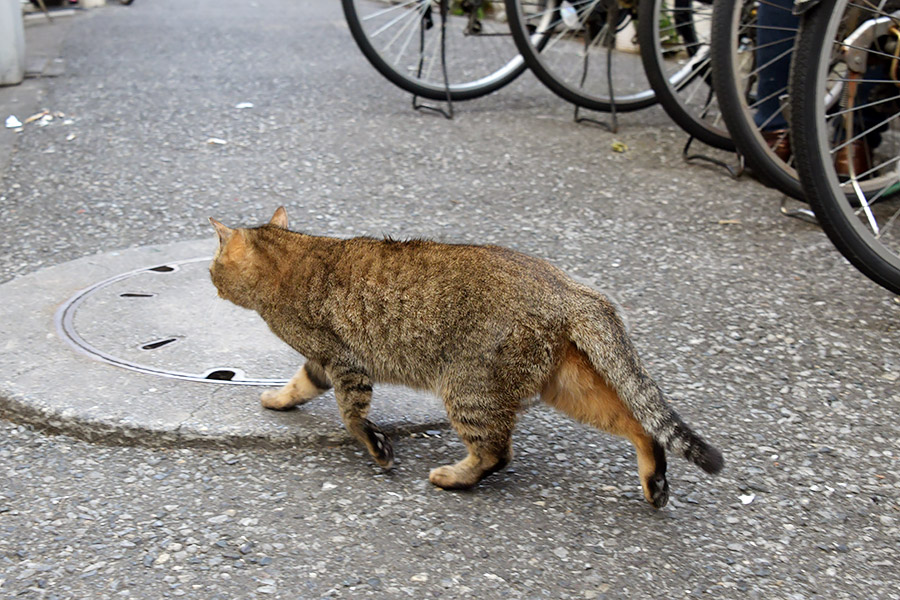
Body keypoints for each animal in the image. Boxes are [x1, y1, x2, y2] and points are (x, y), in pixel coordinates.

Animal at [211, 206, 724, 506]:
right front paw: (278, 400)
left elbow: (352, 416)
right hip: (566, 385)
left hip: (469, 388)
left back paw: (454, 477)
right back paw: (655, 482)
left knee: (497, 452)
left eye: (214, 266)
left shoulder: (343, 362)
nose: (211, 282)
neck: (293, 254)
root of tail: (566, 286)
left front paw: (377, 449)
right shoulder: (323, 362)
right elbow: (300, 385)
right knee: (640, 424)